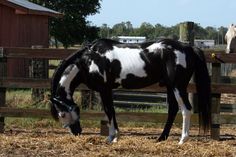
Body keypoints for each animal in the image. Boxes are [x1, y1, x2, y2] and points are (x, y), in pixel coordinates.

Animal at [49, 38, 210, 145]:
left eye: (62, 114)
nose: (76, 132)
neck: (89, 59)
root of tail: (188, 47)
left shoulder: (104, 89)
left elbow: (109, 111)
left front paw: (112, 137)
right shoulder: (107, 90)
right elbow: (111, 111)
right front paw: (114, 136)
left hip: (178, 86)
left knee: (186, 109)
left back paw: (182, 139)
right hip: (170, 87)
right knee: (173, 110)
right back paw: (161, 138)